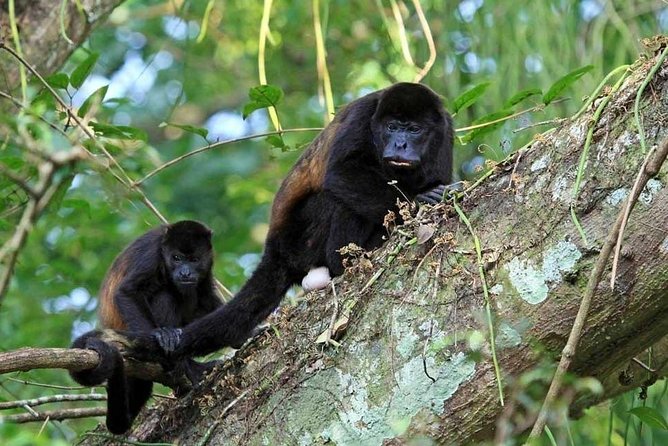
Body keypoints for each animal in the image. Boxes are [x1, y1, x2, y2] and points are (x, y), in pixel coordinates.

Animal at [70, 221, 222, 434]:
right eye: (176, 258)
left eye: (194, 259)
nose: (185, 272)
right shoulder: (152, 253)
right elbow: (127, 292)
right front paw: (163, 342)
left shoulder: (208, 263)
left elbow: (209, 298)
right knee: (166, 295)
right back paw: (182, 364)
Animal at [144, 83, 452, 358]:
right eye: (392, 127)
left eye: (414, 130)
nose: (400, 144)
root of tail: (274, 246)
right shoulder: (362, 116)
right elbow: (342, 172)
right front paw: (419, 201)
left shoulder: (445, 129)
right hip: (300, 241)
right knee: (333, 199)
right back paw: (349, 260)